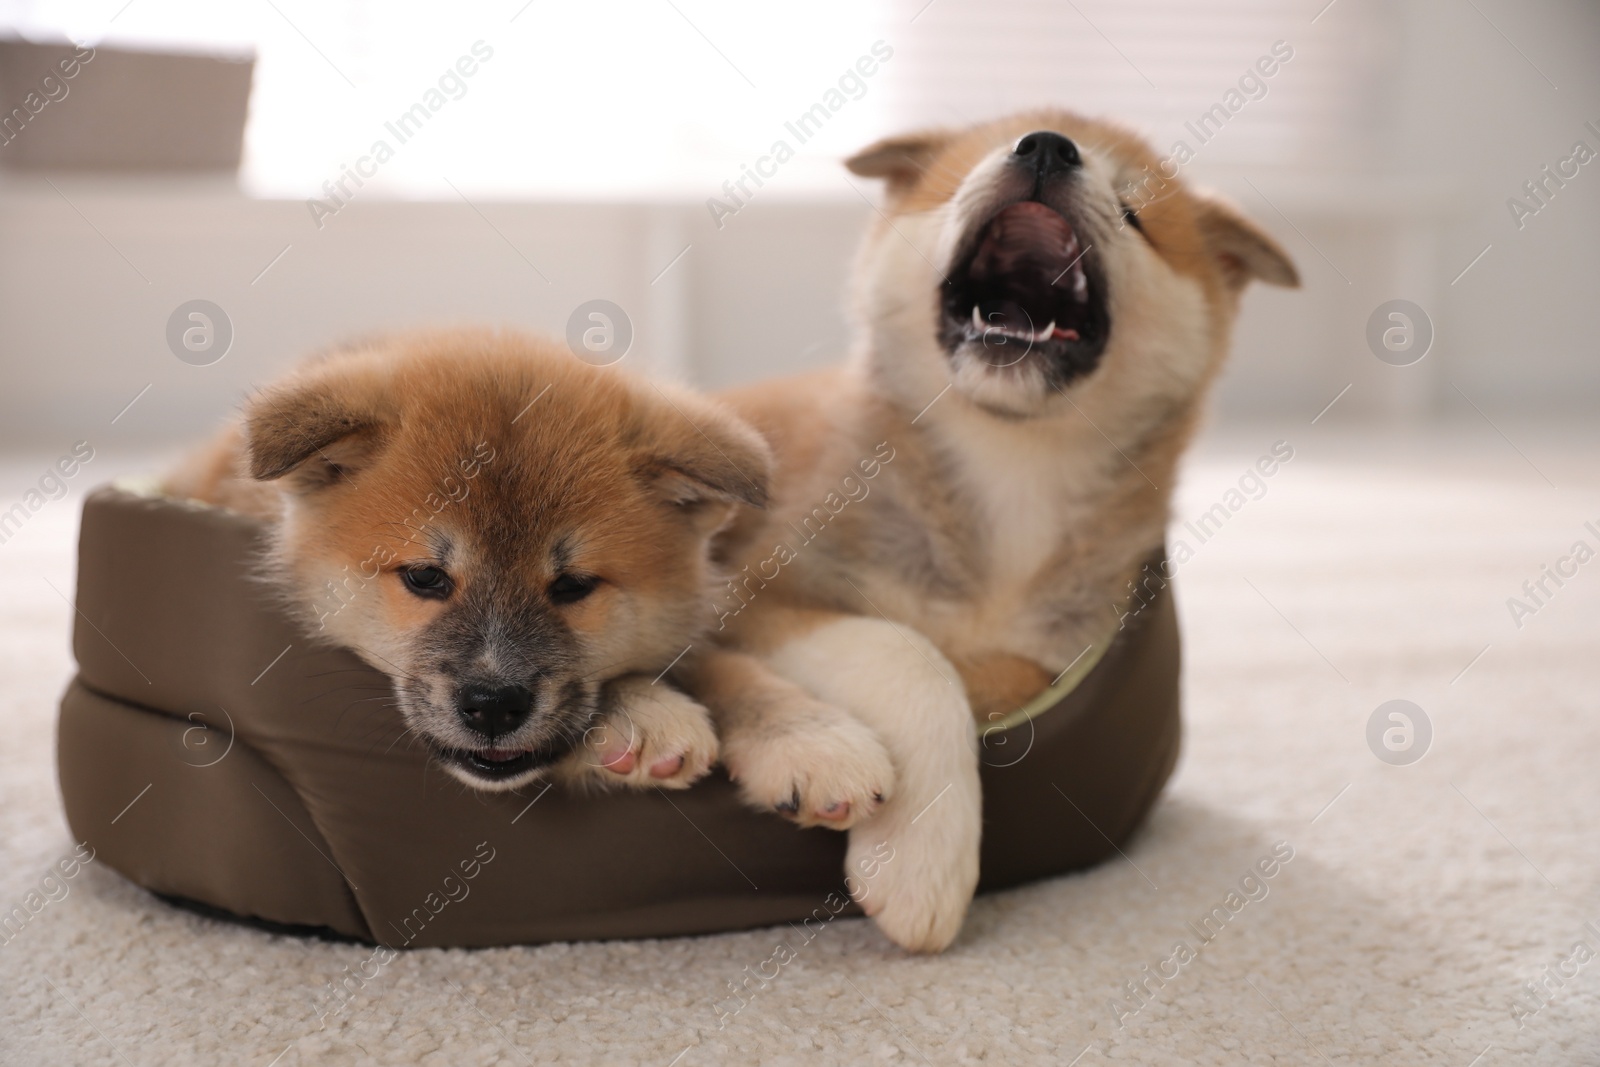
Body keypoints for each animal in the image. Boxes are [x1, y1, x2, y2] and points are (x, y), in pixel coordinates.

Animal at [691, 110, 1299, 953]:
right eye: (969, 173)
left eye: (1134, 211)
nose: (1045, 146)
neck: (1010, 473)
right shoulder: (759, 592)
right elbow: (909, 651)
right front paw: (924, 853)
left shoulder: (1065, 642)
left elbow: (1004, 672)